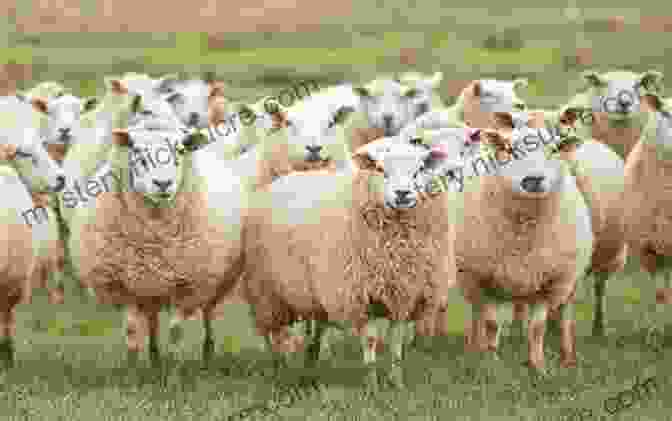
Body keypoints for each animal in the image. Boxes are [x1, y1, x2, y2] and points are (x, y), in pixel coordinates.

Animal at [239, 137, 464, 384]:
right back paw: (279, 367)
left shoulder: (404, 294)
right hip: (265, 288)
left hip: (311, 293)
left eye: (419, 170)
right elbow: (371, 341)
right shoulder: (359, 295)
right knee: (271, 332)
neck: (397, 248)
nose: (402, 193)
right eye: (380, 169)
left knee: (314, 327)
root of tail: (287, 177)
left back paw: (310, 360)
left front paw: (396, 381)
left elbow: (396, 343)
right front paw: (372, 382)